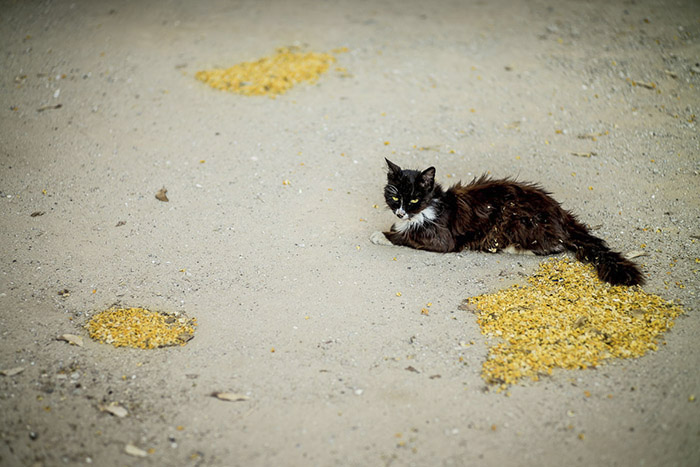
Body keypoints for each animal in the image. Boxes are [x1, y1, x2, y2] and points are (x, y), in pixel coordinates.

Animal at [372, 159, 644, 288]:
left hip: (516, 220)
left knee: (553, 245)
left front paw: (381, 235)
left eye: (414, 199)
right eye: (395, 197)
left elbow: (408, 235)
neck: (429, 206)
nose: (400, 212)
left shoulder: (441, 238)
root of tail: (562, 214)